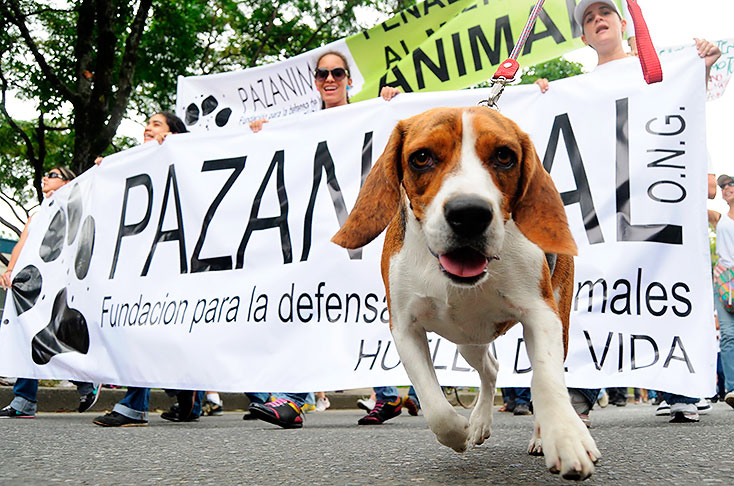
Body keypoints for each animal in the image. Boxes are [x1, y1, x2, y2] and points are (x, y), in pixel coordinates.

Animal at [336, 105, 600, 478]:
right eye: (421, 158)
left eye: (504, 156)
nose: (469, 213)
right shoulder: (404, 327)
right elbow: (434, 405)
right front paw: (458, 433)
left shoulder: (542, 315)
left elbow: (547, 382)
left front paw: (565, 437)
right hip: (468, 340)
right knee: (490, 369)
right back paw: (478, 423)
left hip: (554, 318)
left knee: (535, 374)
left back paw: (539, 436)